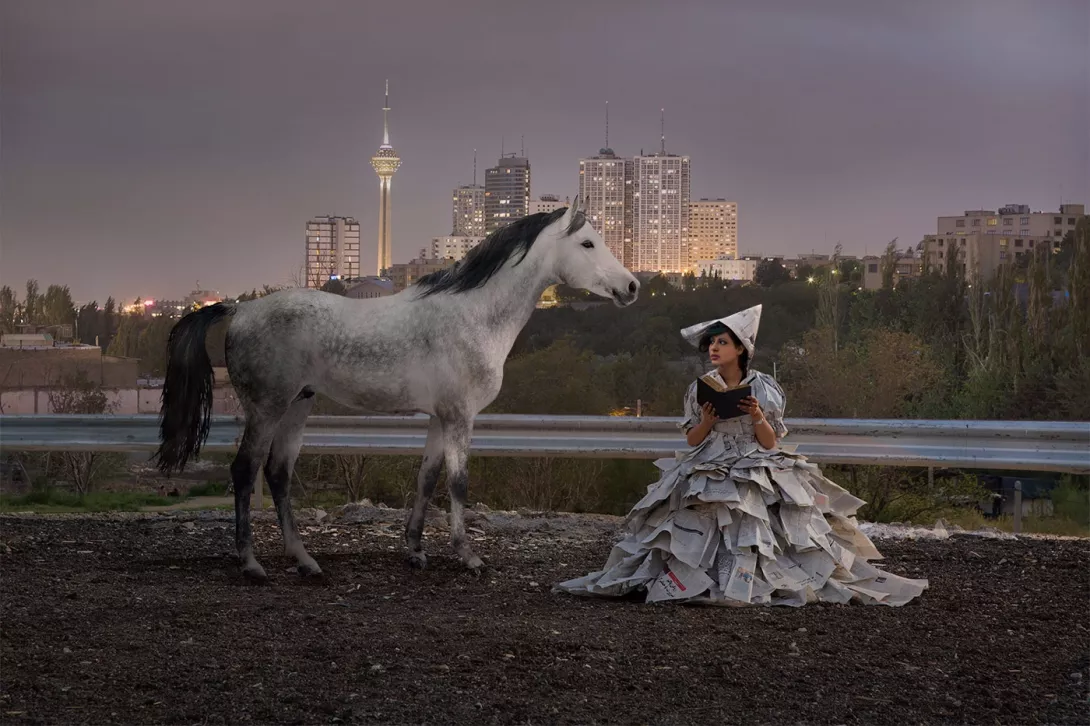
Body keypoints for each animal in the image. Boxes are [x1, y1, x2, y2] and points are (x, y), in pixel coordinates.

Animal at [158, 199, 640, 584]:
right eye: (588, 244)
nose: (632, 286)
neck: (474, 314)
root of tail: (240, 310)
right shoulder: (459, 416)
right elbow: (458, 482)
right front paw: (467, 555)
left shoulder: (439, 418)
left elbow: (426, 478)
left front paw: (415, 550)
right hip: (267, 408)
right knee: (245, 471)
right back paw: (251, 564)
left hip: (297, 405)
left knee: (278, 473)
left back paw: (305, 561)